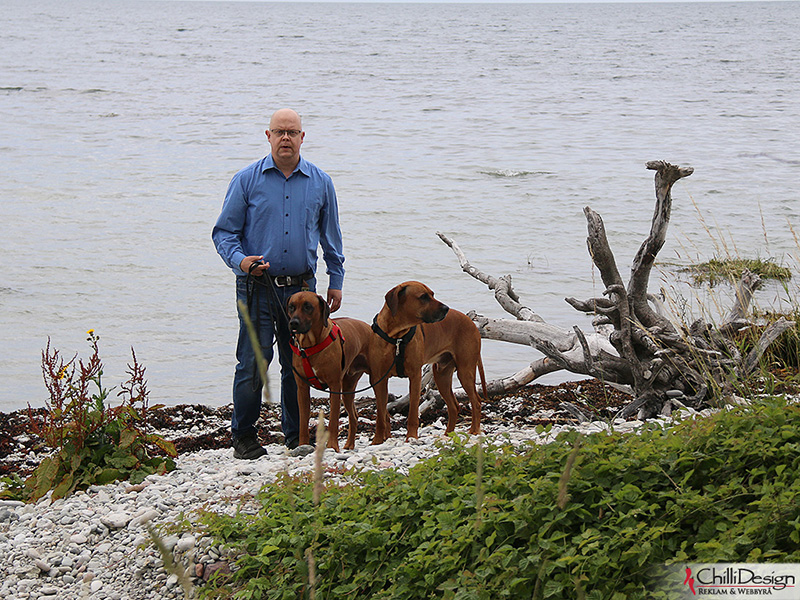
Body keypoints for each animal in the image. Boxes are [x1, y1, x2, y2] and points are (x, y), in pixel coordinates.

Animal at [288, 290, 376, 450]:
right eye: (291, 307)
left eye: (308, 307)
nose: (293, 323)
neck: (309, 346)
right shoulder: (302, 388)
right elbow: (303, 422)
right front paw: (303, 445)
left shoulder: (334, 386)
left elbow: (334, 420)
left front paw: (332, 446)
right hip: (348, 388)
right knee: (354, 416)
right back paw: (349, 444)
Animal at [368, 278, 488, 442]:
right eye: (424, 297)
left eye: (432, 294)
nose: (446, 308)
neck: (397, 336)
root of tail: (472, 323)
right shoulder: (379, 378)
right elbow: (380, 414)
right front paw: (377, 441)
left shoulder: (415, 377)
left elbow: (413, 412)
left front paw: (411, 437)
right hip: (441, 374)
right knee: (454, 405)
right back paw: (448, 434)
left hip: (465, 370)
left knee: (476, 401)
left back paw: (474, 431)